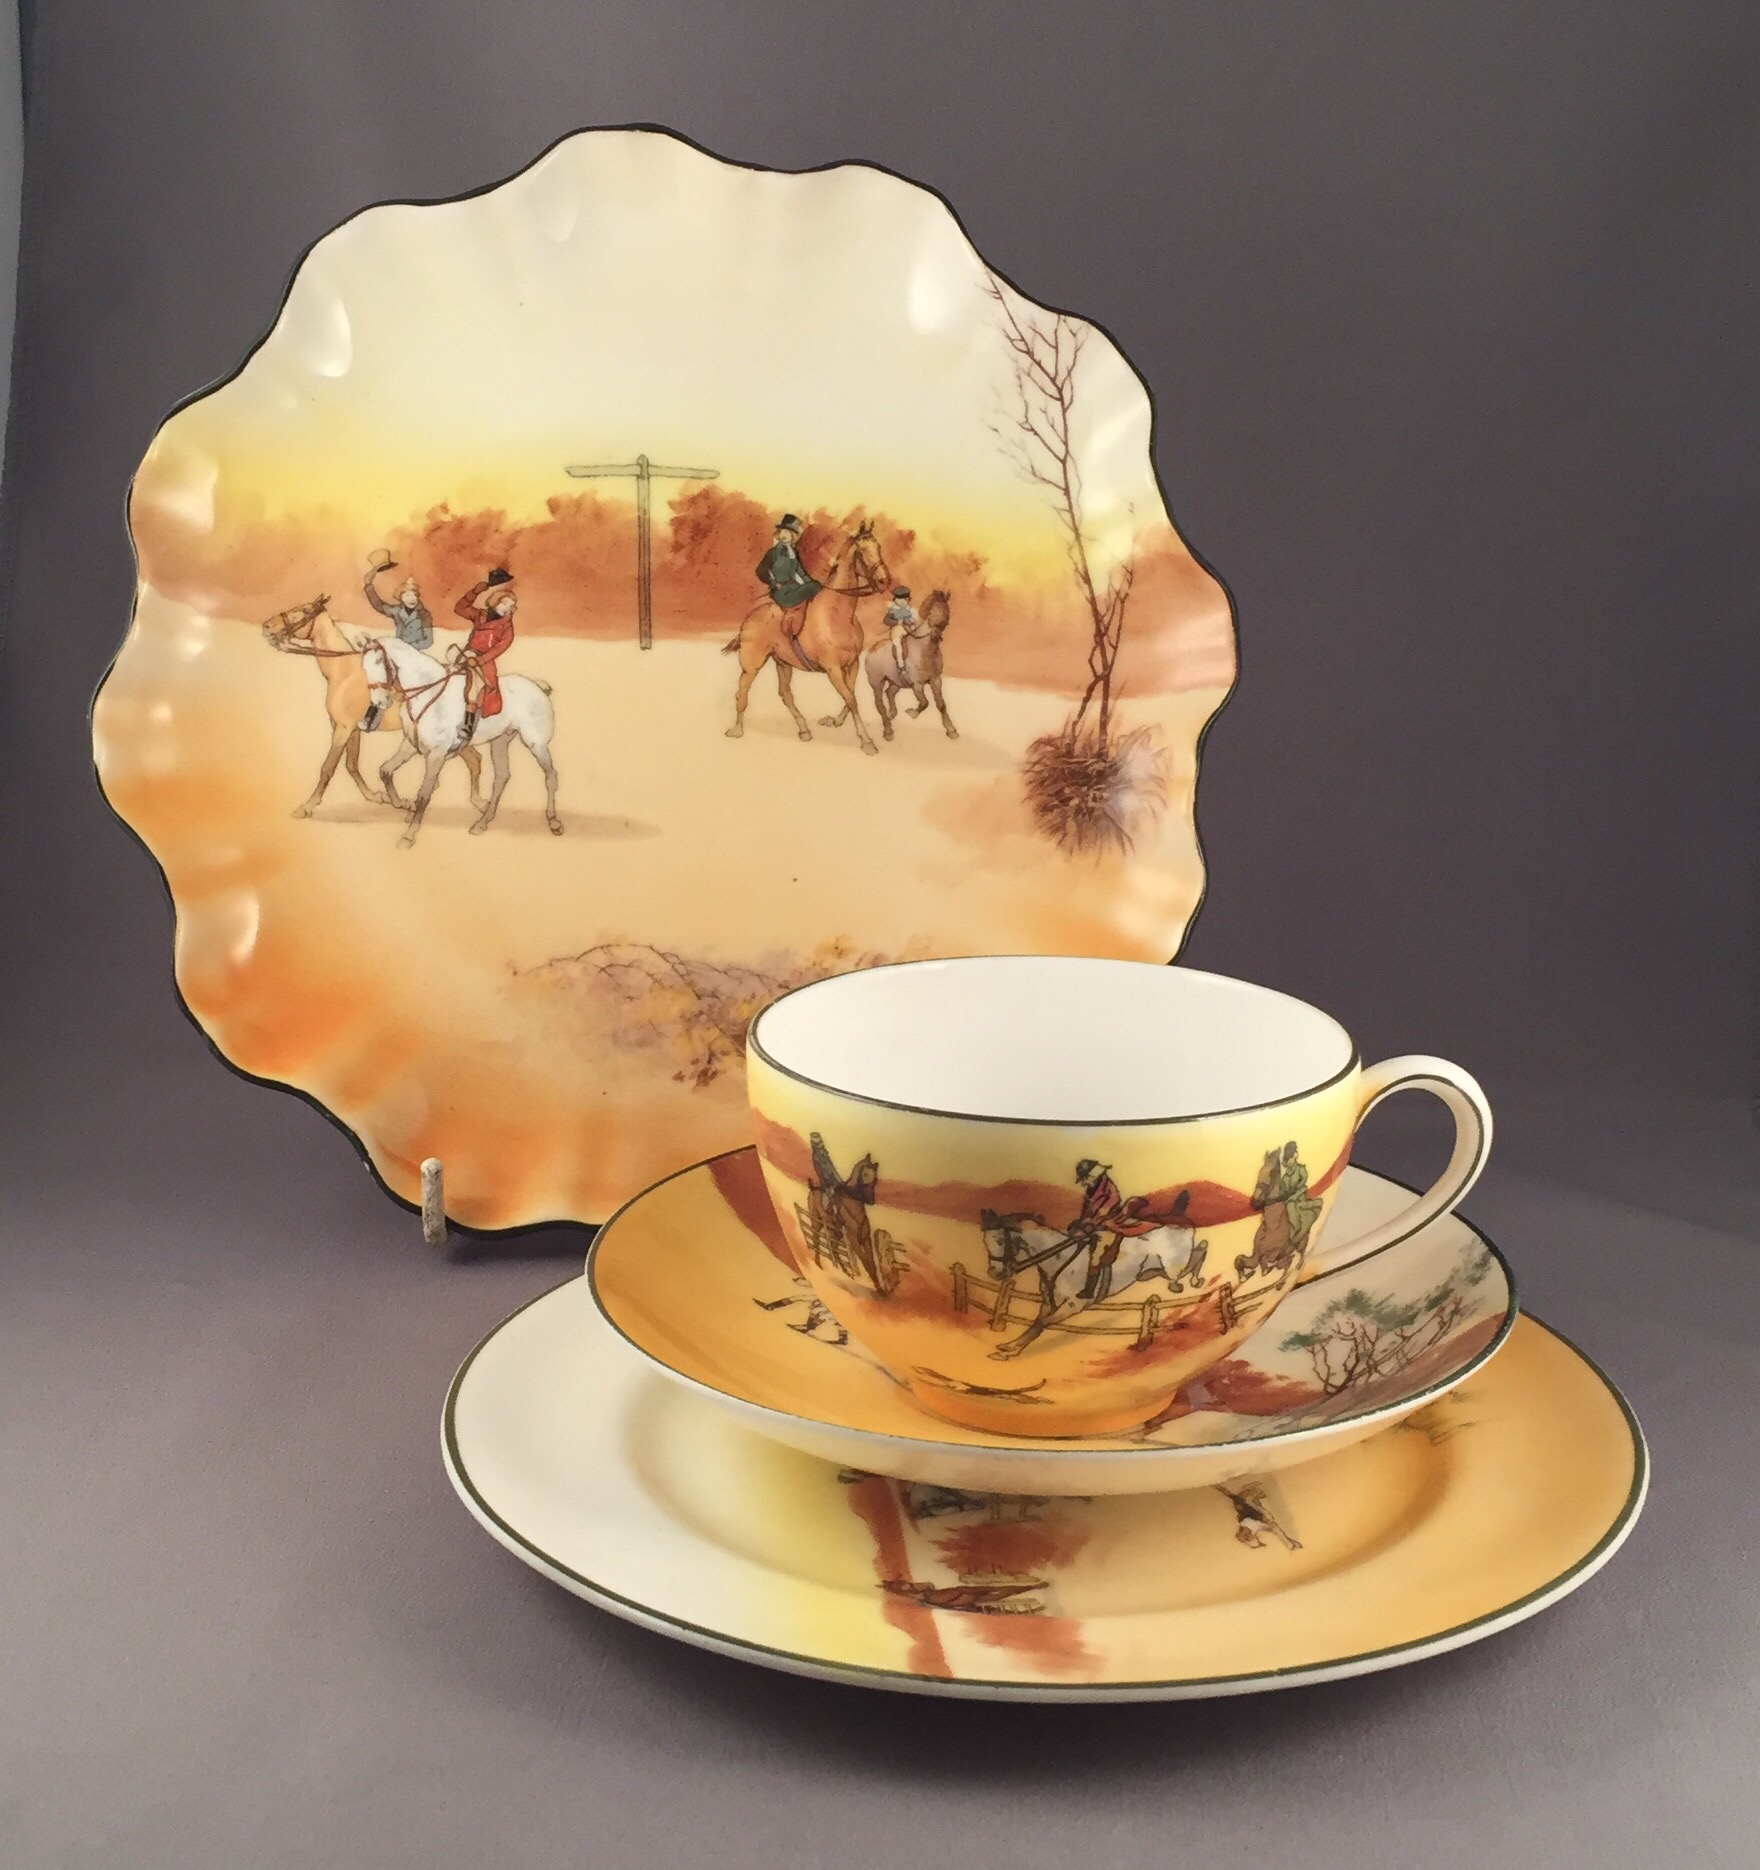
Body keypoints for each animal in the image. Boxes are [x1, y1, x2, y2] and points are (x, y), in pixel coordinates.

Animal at [260, 595, 485, 817]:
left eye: (303, 611)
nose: (267, 626)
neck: (345, 672)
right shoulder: (351, 729)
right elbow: (351, 764)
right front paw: (375, 796)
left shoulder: (343, 729)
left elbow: (328, 767)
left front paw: (306, 806)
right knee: (474, 759)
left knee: (473, 760)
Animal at [359, 634, 562, 848]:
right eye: (363, 666)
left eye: (379, 661)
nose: (379, 702)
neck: (429, 694)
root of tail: (538, 686)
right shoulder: (410, 745)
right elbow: (385, 770)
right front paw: (401, 804)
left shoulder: (437, 754)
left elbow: (424, 794)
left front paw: (409, 835)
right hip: (500, 741)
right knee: (501, 777)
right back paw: (482, 823)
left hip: (536, 744)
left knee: (551, 776)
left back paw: (554, 821)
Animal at [721, 522, 890, 755]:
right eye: (862, 552)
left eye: (879, 547)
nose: (884, 581)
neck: (837, 615)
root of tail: (749, 619)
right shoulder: (833, 669)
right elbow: (851, 698)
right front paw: (866, 741)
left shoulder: (852, 664)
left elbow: (851, 695)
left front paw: (835, 721)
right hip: (751, 665)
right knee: (742, 692)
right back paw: (737, 730)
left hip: (782, 663)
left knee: (785, 694)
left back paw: (803, 729)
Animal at [851, 588, 959, 741]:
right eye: (931, 612)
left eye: (946, 611)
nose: (935, 636)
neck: (924, 650)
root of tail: (872, 650)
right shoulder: (917, 684)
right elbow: (925, 702)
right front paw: (912, 713)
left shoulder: (936, 680)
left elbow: (941, 704)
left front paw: (951, 730)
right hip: (877, 683)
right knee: (879, 704)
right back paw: (888, 731)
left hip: (896, 682)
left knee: (889, 692)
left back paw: (892, 714)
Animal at [979, 1210, 1207, 1359]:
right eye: (985, 1242)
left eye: (1000, 1241)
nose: (994, 1273)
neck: (1059, 1259)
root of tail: (1182, 1227)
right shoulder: (1049, 1302)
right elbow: (1036, 1323)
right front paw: (1010, 1347)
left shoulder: (1074, 1305)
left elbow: (1042, 1323)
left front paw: (1009, 1352)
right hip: (1150, 1273)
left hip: (1172, 1269)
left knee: (1198, 1254)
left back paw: (1195, 1280)